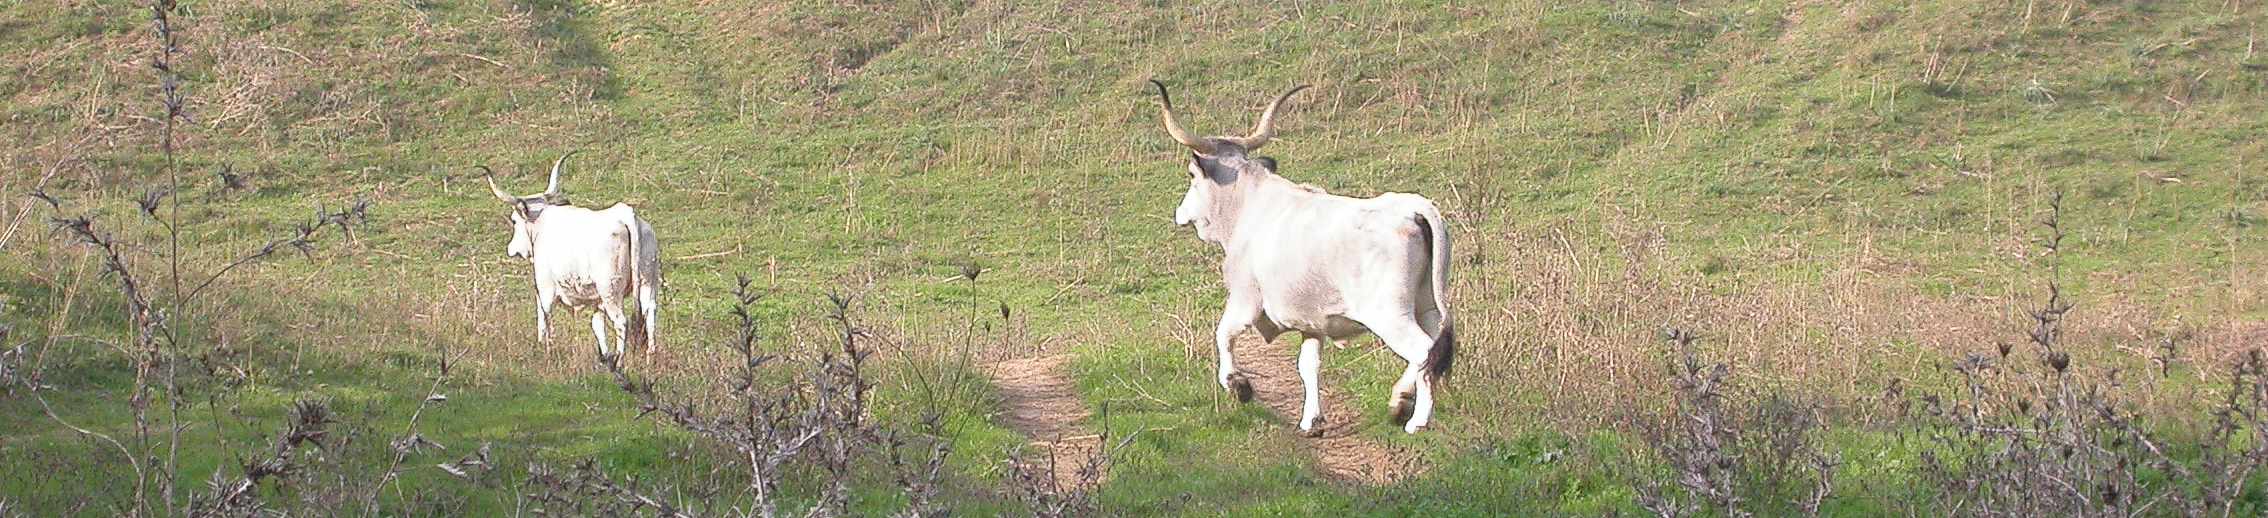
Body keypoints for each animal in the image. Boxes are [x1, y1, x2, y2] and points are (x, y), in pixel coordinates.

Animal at [478, 149, 657, 361]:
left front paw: (545, 348)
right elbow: (597, 325)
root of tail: (625, 214)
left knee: (621, 322)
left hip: (610, 291)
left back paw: (620, 360)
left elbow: (544, 317)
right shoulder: (597, 300)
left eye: (514, 220)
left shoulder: (544, 287)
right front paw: (604, 356)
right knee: (650, 313)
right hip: (647, 282)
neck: (541, 223)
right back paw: (650, 355)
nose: (511, 249)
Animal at [1152, 80, 1451, 433]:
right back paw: (1398, 401)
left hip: (1390, 314)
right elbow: (1309, 365)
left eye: (1190, 174)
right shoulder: (1312, 322)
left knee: (1422, 353)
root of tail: (1412, 209)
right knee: (1432, 348)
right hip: (1426, 306)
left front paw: (1238, 385)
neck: (1249, 209)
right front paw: (1312, 420)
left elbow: (1223, 334)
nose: (1180, 213)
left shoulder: (1245, 301)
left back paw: (1418, 420)